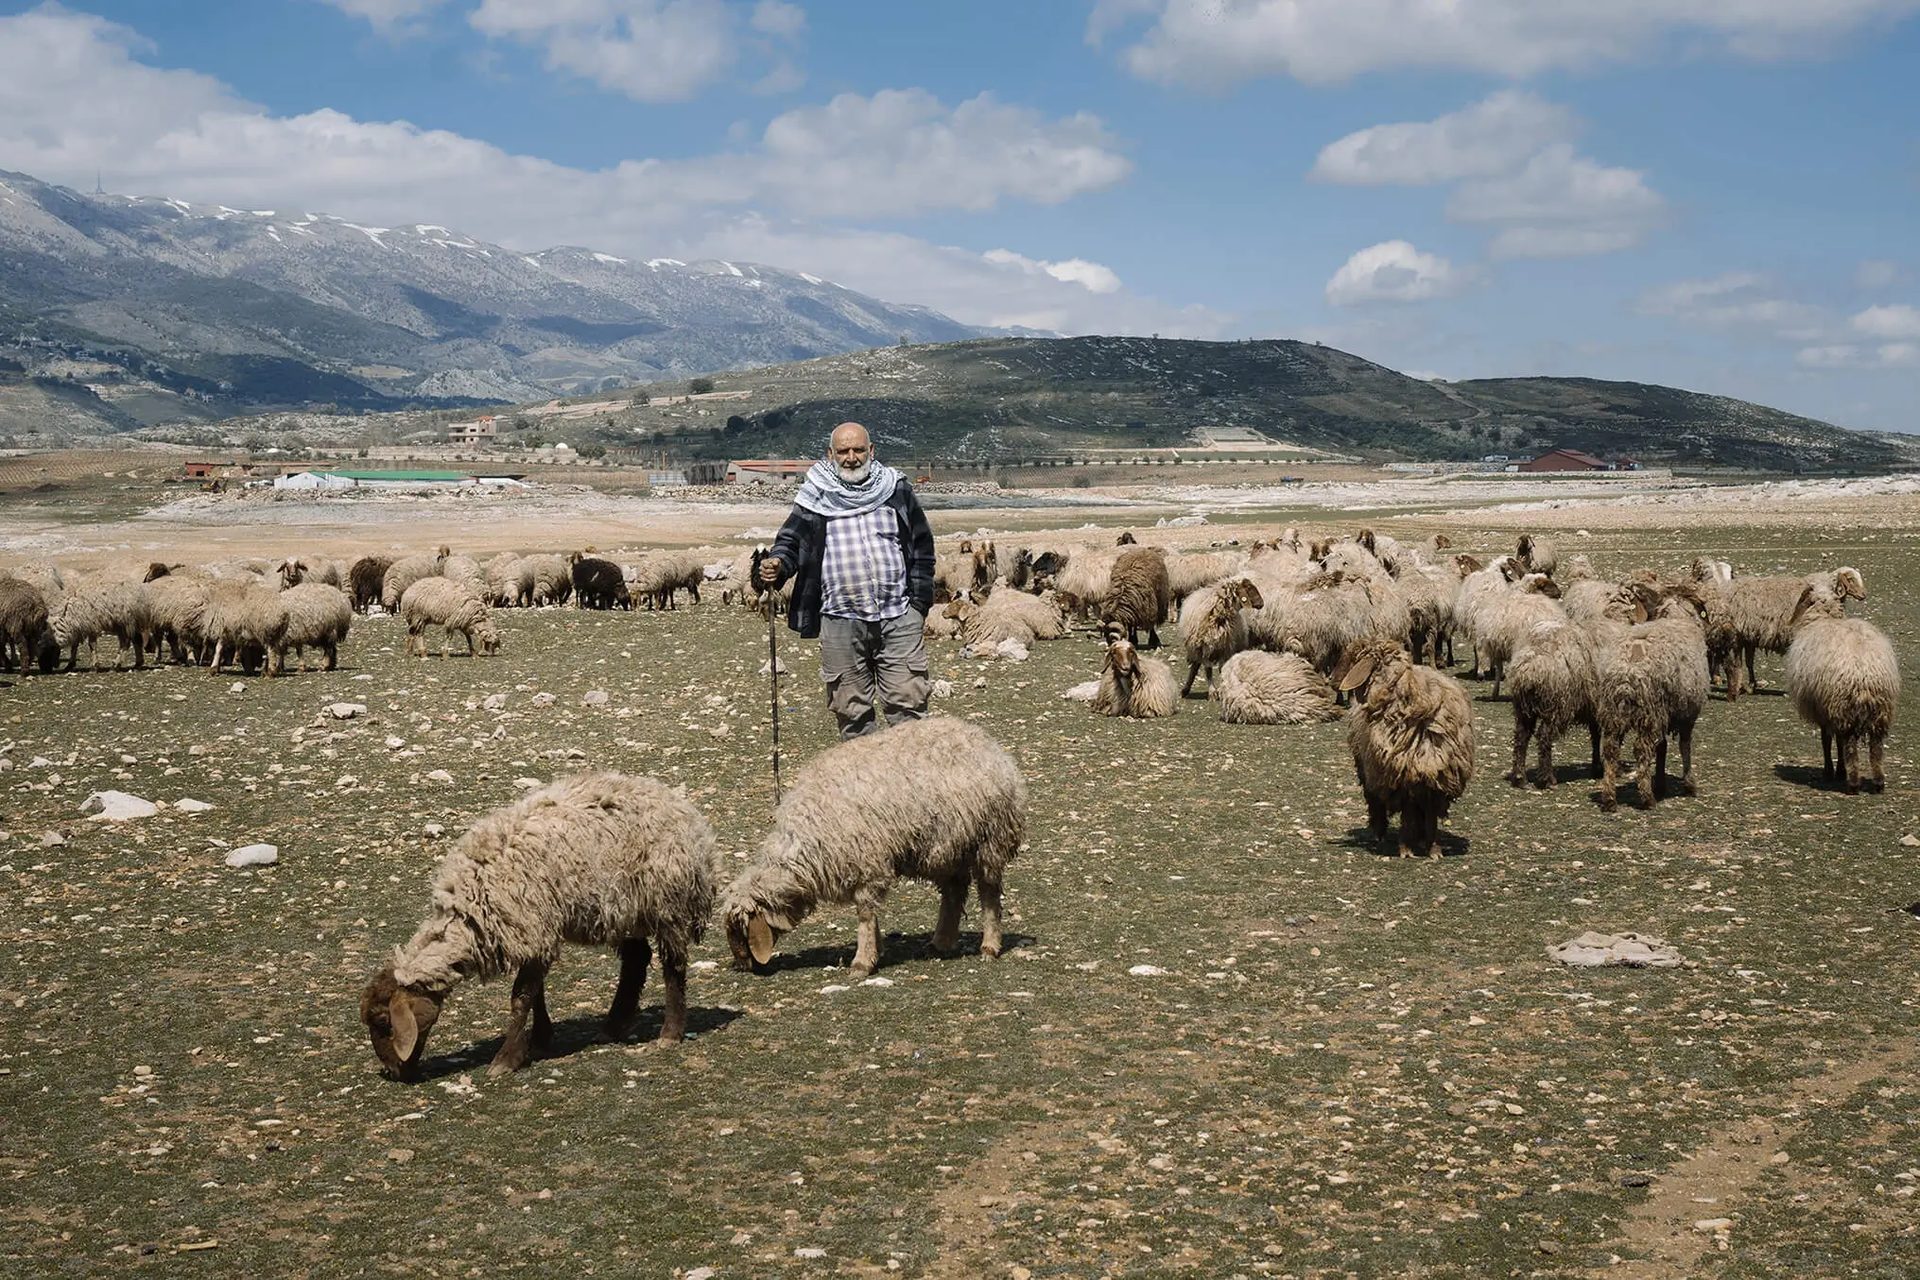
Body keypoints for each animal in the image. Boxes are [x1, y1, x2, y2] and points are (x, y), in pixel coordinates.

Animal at [360, 771, 721, 1082]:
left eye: (384, 1022)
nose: (393, 1073)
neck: (469, 910)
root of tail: (693, 821)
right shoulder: (533, 934)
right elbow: (536, 994)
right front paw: (540, 1039)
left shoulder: (532, 928)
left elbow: (521, 997)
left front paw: (506, 1059)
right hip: (624, 907)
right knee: (636, 959)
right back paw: (615, 1024)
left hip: (666, 901)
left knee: (673, 965)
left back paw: (670, 1033)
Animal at [721, 717, 1029, 974]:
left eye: (739, 930)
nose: (741, 967)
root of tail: (989, 744)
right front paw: (875, 950)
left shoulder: (869, 862)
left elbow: (865, 914)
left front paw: (862, 961)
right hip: (946, 847)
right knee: (954, 891)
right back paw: (940, 942)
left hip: (989, 839)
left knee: (989, 893)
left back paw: (989, 946)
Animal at [1344, 640, 1474, 859]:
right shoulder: (1404, 774)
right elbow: (1409, 813)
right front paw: (1408, 847)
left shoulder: (1433, 777)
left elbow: (1427, 814)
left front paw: (1430, 848)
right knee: (1378, 801)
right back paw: (1384, 833)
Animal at [1589, 583, 1712, 809]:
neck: (1677, 617)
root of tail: (1626, 669)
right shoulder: (1688, 712)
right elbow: (1685, 746)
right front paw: (1689, 784)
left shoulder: (1668, 713)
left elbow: (1662, 747)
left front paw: (1661, 783)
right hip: (1649, 710)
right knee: (1641, 750)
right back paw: (1647, 797)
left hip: (1613, 710)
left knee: (1610, 750)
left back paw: (1609, 798)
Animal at [1774, 587, 1896, 790]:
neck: (1824, 616)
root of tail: (1864, 672)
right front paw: (1838, 771)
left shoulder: (1822, 709)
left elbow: (1827, 740)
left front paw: (1832, 772)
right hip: (1880, 709)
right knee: (1876, 746)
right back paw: (1879, 781)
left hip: (1842, 705)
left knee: (1849, 744)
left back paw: (1853, 782)